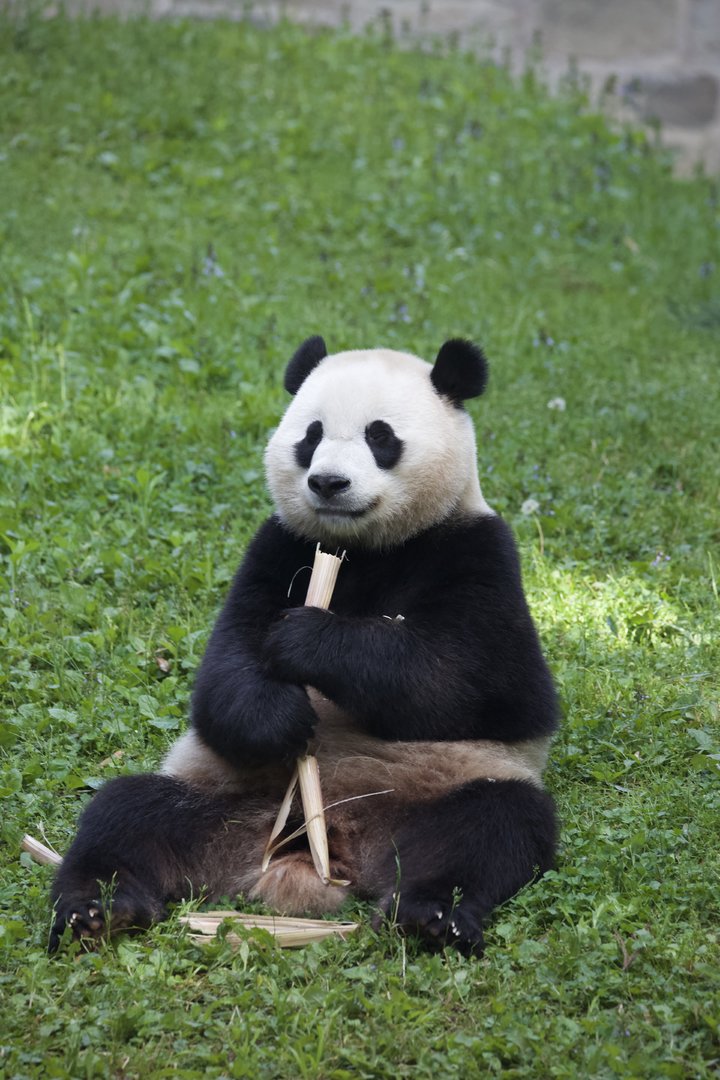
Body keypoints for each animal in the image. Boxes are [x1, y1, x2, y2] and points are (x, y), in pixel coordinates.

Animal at [50, 336, 558, 956]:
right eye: (311, 435)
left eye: (380, 436)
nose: (328, 483)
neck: (365, 548)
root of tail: (321, 846)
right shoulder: (277, 547)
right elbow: (224, 678)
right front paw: (279, 714)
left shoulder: (478, 552)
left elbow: (479, 684)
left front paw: (308, 640)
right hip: (230, 802)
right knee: (126, 813)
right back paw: (97, 910)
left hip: (444, 790)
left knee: (493, 829)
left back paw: (432, 915)